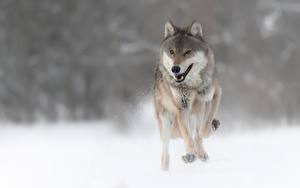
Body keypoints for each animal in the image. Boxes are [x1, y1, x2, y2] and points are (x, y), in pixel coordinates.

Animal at [154, 20, 221, 170]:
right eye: (171, 52)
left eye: (187, 52)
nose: (175, 69)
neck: (192, 86)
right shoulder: (182, 108)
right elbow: (187, 135)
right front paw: (190, 155)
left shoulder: (215, 96)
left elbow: (203, 130)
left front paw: (199, 151)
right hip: (166, 123)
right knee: (166, 152)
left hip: (197, 114)